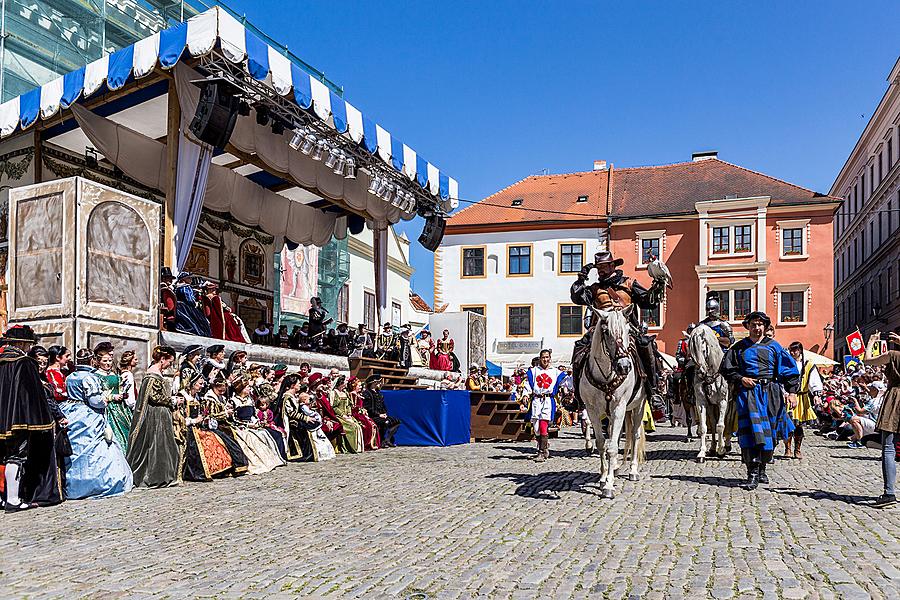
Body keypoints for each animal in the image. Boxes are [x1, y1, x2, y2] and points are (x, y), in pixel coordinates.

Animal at [576, 308, 648, 500]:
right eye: (607, 332)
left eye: (628, 331)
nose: (624, 366)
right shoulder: (593, 410)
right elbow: (602, 444)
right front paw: (603, 478)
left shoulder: (619, 409)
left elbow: (614, 447)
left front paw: (608, 485)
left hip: (638, 406)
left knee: (635, 435)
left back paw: (633, 470)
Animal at [688, 326, 732, 462]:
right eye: (691, 353)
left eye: (703, 350)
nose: (701, 372)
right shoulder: (701, 402)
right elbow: (704, 428)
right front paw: (702, 452)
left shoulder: (723, 402)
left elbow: (721, 426)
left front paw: (721, 450)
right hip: (711, 406)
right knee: (712, 423)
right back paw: (712, 448)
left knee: (726, 422)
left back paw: (726, 445)